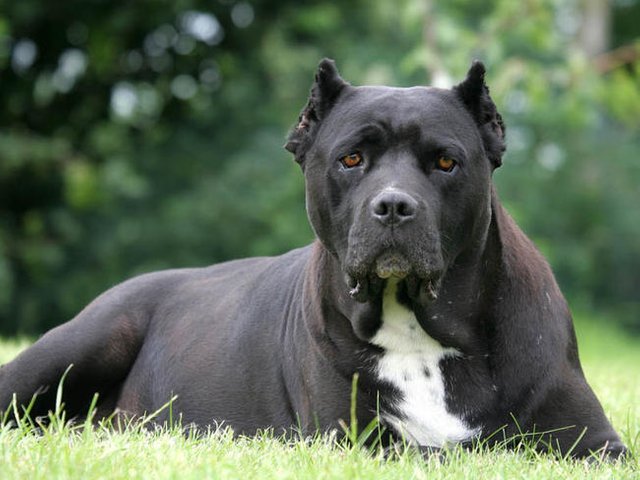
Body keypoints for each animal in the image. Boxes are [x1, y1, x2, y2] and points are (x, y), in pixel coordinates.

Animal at [0, 59, 628, 458]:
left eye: (446, 162)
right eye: (351, 158)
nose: (393, 205)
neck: (417, 324)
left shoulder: (596, 442)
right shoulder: (359, 441)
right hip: (84, 340)